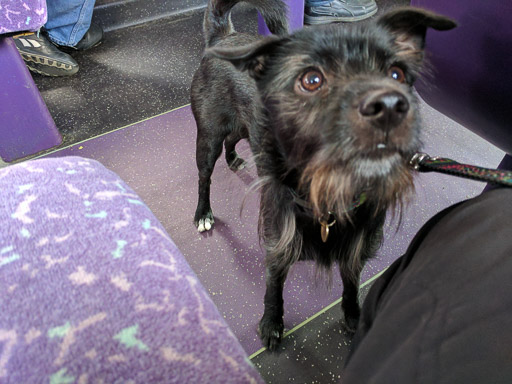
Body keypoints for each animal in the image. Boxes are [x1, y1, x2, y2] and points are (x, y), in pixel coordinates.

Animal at [191, 0, 456, 352]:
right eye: (312, 80)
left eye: (397, 74)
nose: (389, 105)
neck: (331, 195)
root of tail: (224, 36)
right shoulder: (277, 247)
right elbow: (274, 289)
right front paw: (272, 324)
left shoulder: (356, 251)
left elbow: (351, 285)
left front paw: (354, 315)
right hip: (207, 138)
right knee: (204, 176)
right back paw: (203, 213)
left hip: (240, 125)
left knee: (234, 139)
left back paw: (235, 159)